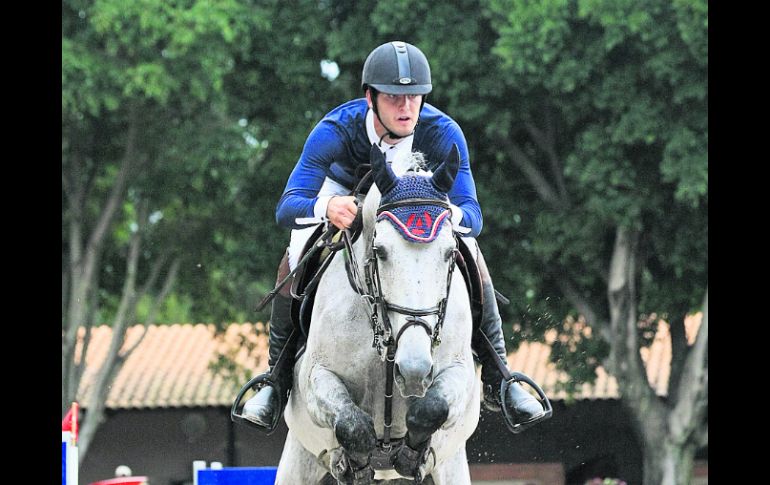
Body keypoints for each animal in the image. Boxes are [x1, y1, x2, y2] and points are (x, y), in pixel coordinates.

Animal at [276, 146, 480, 482]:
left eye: (450, 253)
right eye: (380, 252)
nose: (413, 371)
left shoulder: (460, 373)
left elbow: (431, 408)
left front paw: (410, 456)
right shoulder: (315, 375)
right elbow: (353, 425)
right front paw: (355, 465)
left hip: (453, 466)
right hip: (298, 457)